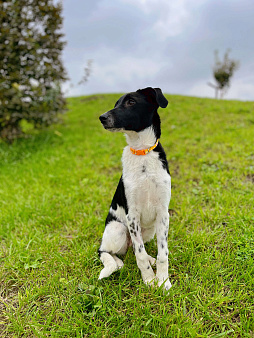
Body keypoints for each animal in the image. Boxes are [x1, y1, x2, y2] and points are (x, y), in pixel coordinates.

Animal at [98, 87, 172, 290]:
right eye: (116, 103)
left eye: (131, 102)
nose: (102, 117)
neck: (142, 152)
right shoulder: (132, 216)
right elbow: (139, 255)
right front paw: (149, 281)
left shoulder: (163, 214)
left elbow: (163, 254)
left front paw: (163, 281)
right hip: (118, 229)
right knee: (105, 251)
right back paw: (117, 263)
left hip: (149, 230)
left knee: (135, 248)